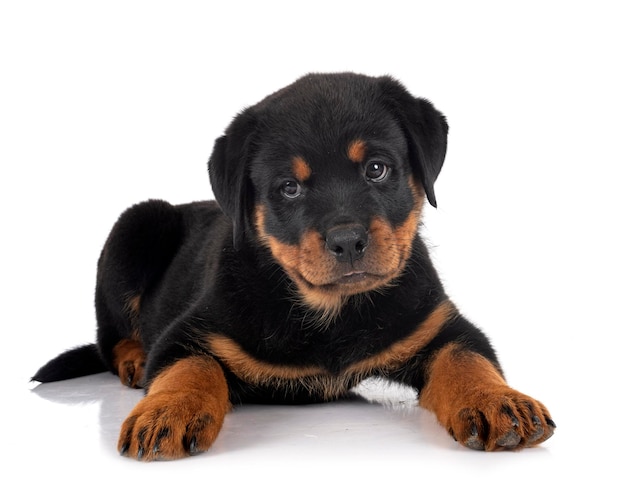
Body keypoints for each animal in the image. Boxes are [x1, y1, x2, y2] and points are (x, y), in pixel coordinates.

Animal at [34, 73, 552, 460]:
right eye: (289, 188)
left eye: (377, 169)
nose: (347, 240)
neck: (332, 313)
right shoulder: (190, 332)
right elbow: (190, 367)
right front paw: (166, 413)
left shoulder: (439, 325)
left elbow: (467, 358)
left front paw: (501, 403)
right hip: (135, 225)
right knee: (111, 339)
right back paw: (134, 361)